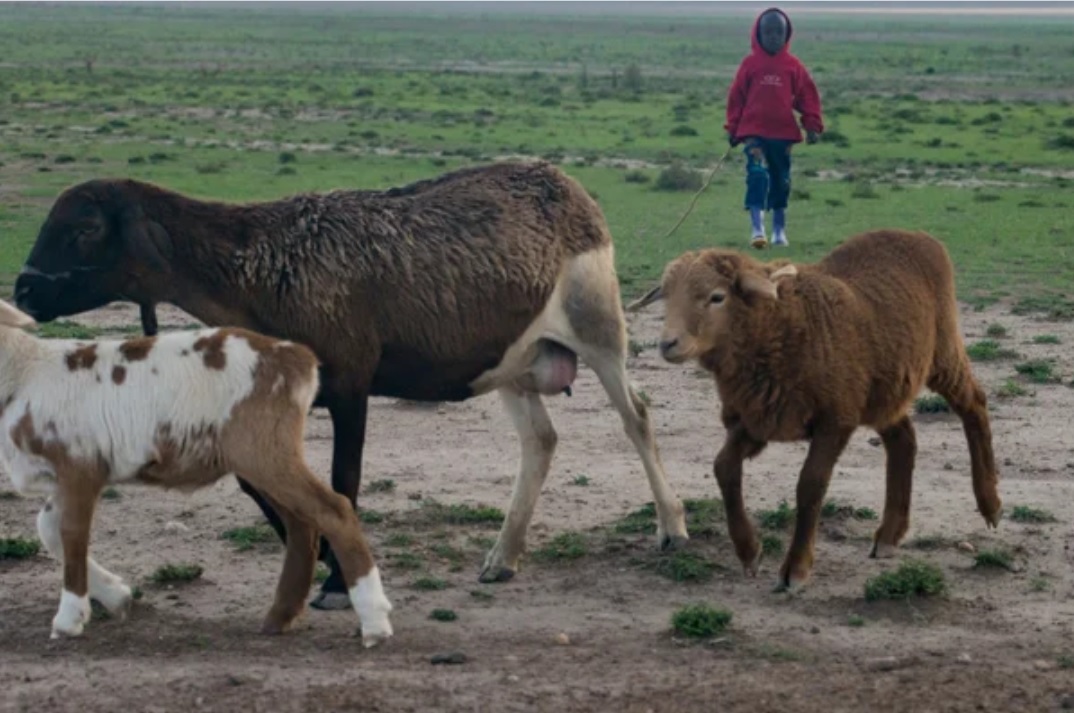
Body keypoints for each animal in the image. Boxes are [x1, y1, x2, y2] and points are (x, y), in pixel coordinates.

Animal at [0, 298, 393, 644]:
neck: (24, 373)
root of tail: (298, 358)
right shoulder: (64, 476)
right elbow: (49, 528)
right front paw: (116, 596)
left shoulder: (80, 465)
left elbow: (72, 535)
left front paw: (68, 619)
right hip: (264, 455)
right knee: (302, 524)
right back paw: (280, 617)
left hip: (264, 448)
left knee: (333, 510)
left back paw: (374, 620)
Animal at [14, 159, 687, 605]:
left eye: (84, 229)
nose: (23, 289)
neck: (262, 269)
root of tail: (567, 188)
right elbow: (258, 482)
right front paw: (314, 554)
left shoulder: (350, 387)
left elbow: (345, 480)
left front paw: (338, 579)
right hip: (514, 362)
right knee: (540, 442)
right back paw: (503, 557)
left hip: (597, 327)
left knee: (637, 417)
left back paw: (672, 527)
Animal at [627, 228, 1000, 588]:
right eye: (668, 297)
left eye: (717, 297)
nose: (668, 344)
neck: (779, 328)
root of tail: (919, 236)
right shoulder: (757, 420)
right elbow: (723, 468)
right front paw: (749, 551)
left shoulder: (834, 420)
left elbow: (810, 485)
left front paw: (796, 569)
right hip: (882, 387)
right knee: (903, 439)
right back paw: (889, 534)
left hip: (942, 352)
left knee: (974, 405)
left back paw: (990, 504)